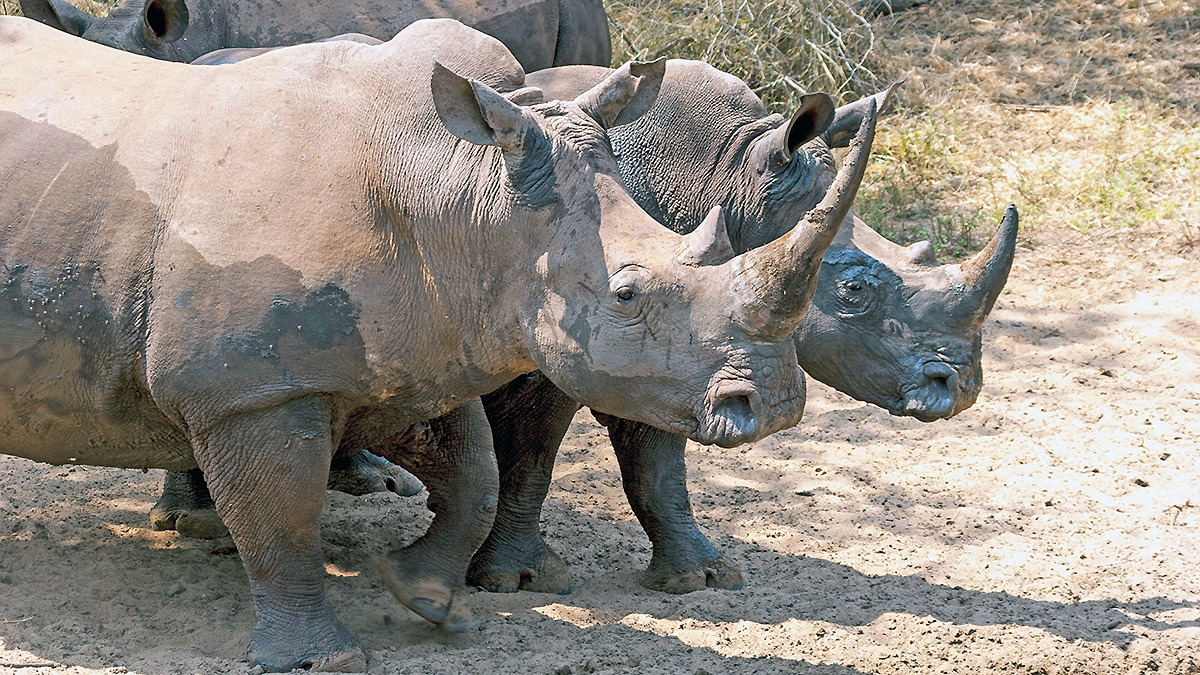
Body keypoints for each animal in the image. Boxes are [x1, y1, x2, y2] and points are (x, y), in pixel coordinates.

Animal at [0, 16, 875, 672]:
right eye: (627, 294)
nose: (777, 406)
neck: (459, 192)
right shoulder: (257, 388)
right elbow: (283, 520)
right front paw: (322, 658)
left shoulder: (417, 346)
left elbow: (475, 473)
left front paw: (423, 595)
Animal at [456, 61, 1018, 594]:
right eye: (853, 291)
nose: (962, 388)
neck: (724, 176)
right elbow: (531, 453)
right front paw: (516, 580)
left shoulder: (670, 344)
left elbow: (658, 460)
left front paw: (698, 577)